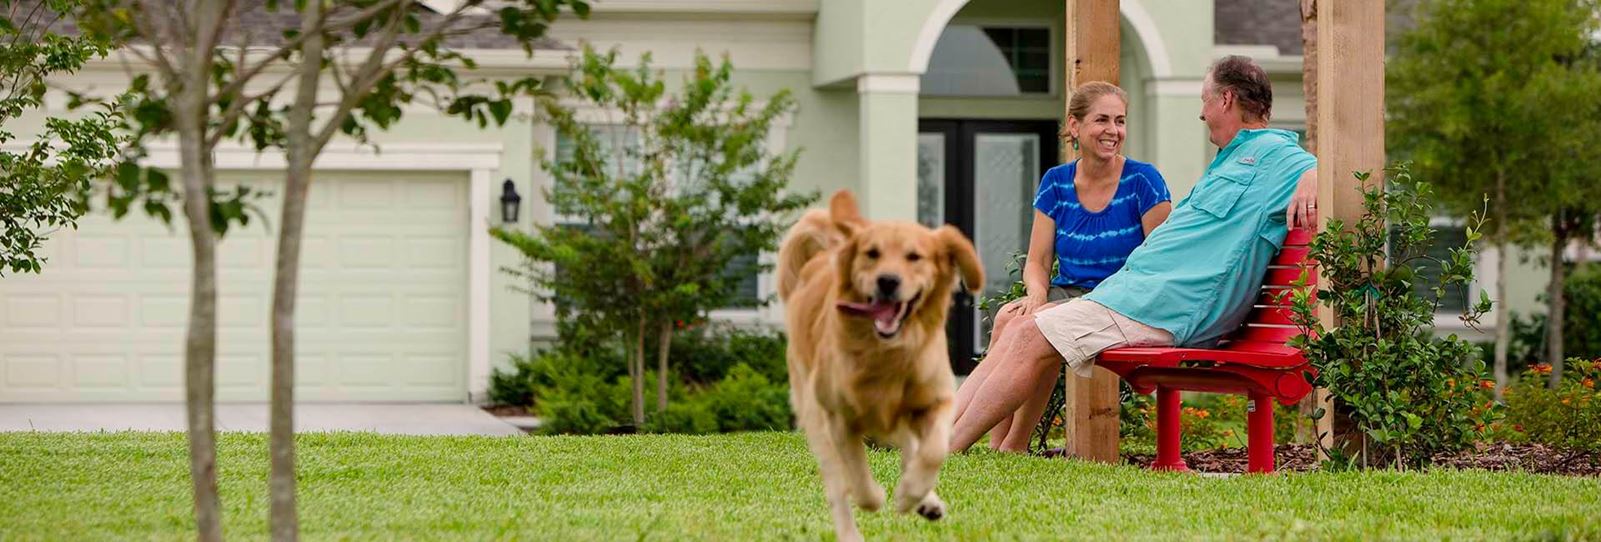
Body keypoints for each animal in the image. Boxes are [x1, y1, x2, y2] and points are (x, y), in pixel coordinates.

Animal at [778, 190, 979, 542]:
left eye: (915, 257)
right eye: (871, 254)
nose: (888, 281)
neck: (887, 353)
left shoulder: (936, 400)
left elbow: (932, 451)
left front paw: (912, 494)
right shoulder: (839, 419)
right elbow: (857, 477)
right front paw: (876, 498)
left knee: (911, 447)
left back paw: (924, 499)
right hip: (815, 417)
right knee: (837, 485)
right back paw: (850, 532)